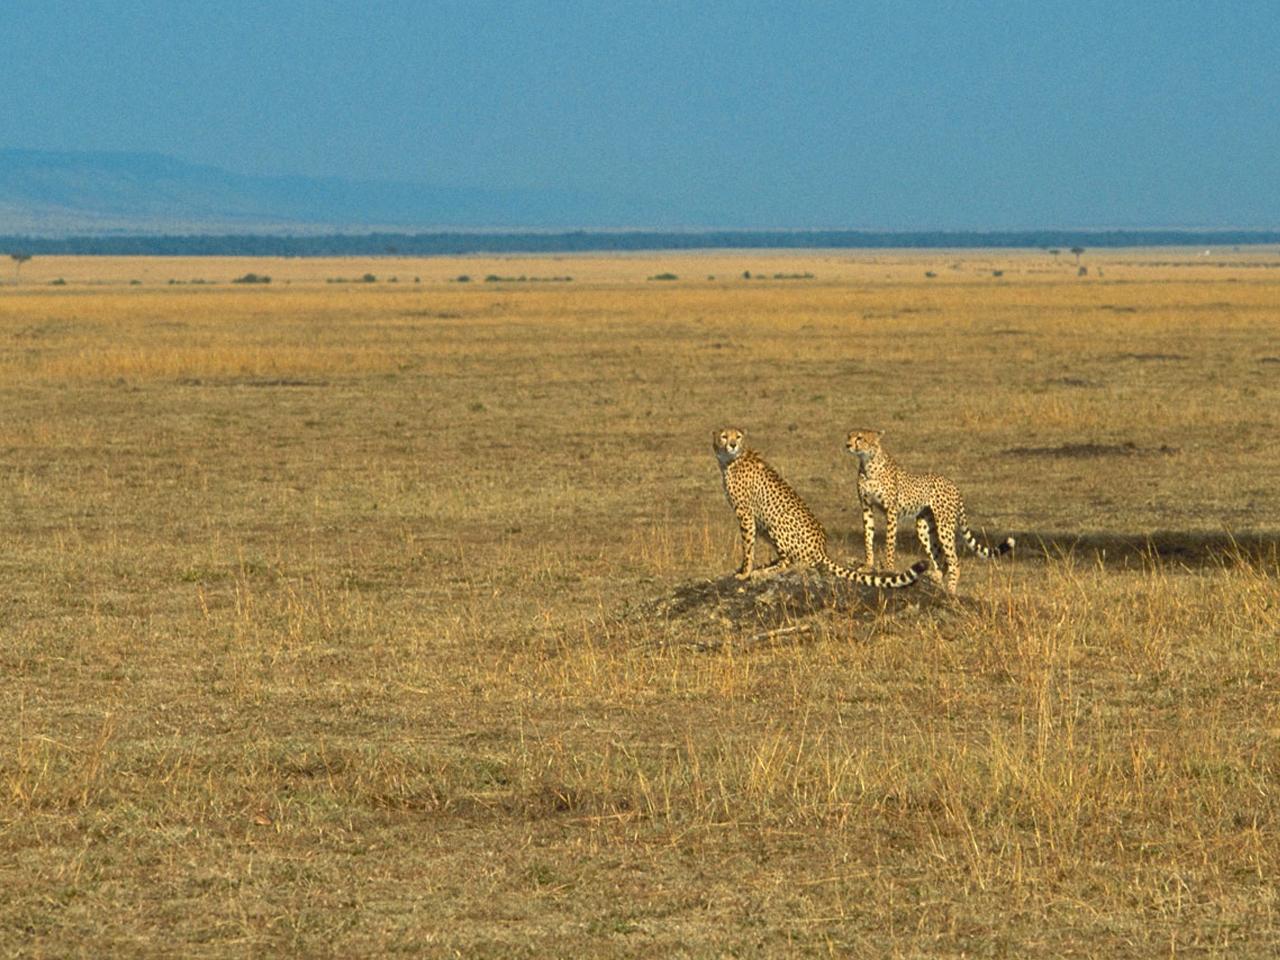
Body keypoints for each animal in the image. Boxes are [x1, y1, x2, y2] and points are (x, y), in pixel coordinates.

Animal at [716, 430, 926, 593]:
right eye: (724, 436)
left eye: (738, 436)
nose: (732, 444)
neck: (730, 460)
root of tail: (822, 549)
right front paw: (742, 570)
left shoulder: (745, 514)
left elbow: (747, 546)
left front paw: (744, 572)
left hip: (775, 523)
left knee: (791, 562)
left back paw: (763, 572)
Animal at [844, 427, 1013, 593]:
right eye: (849, 436)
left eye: (860, 438)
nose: (847, 445)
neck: (868, 462)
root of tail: (953, 484)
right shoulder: (866, 507)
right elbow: (868, 537)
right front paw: (868, 565)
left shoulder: (891, 511)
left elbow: (890, 541)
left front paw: (889, 567)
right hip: (924, 527)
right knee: (941, 559)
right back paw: (935, 578)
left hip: (944, 525)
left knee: (954, 561)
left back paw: (951, 589)